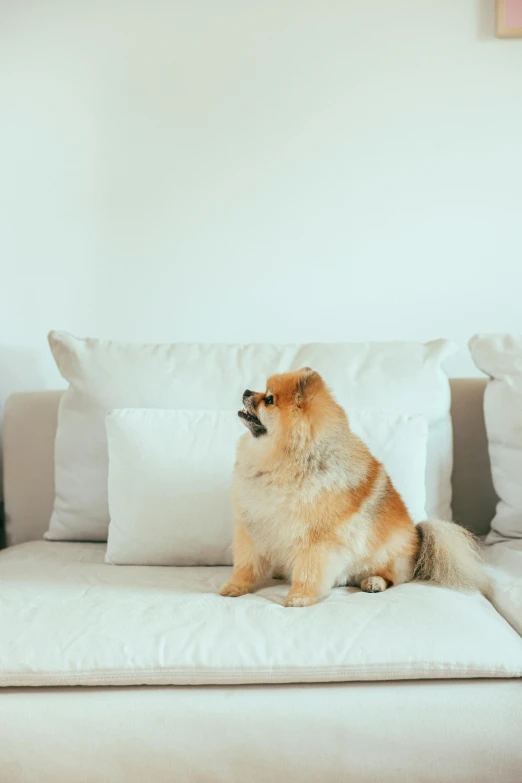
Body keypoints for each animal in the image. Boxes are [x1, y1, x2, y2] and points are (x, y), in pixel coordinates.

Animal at [217, 368, 486, 608]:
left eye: (269, 399)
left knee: (393, 577)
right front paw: (234, 587)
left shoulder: (317, 540)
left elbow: (309, 572)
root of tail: (418, 538)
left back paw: (373, 582)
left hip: (386, 556)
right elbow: (245, 566)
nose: (246, 391)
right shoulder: (252, 528)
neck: (287, 460)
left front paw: (299, 597)